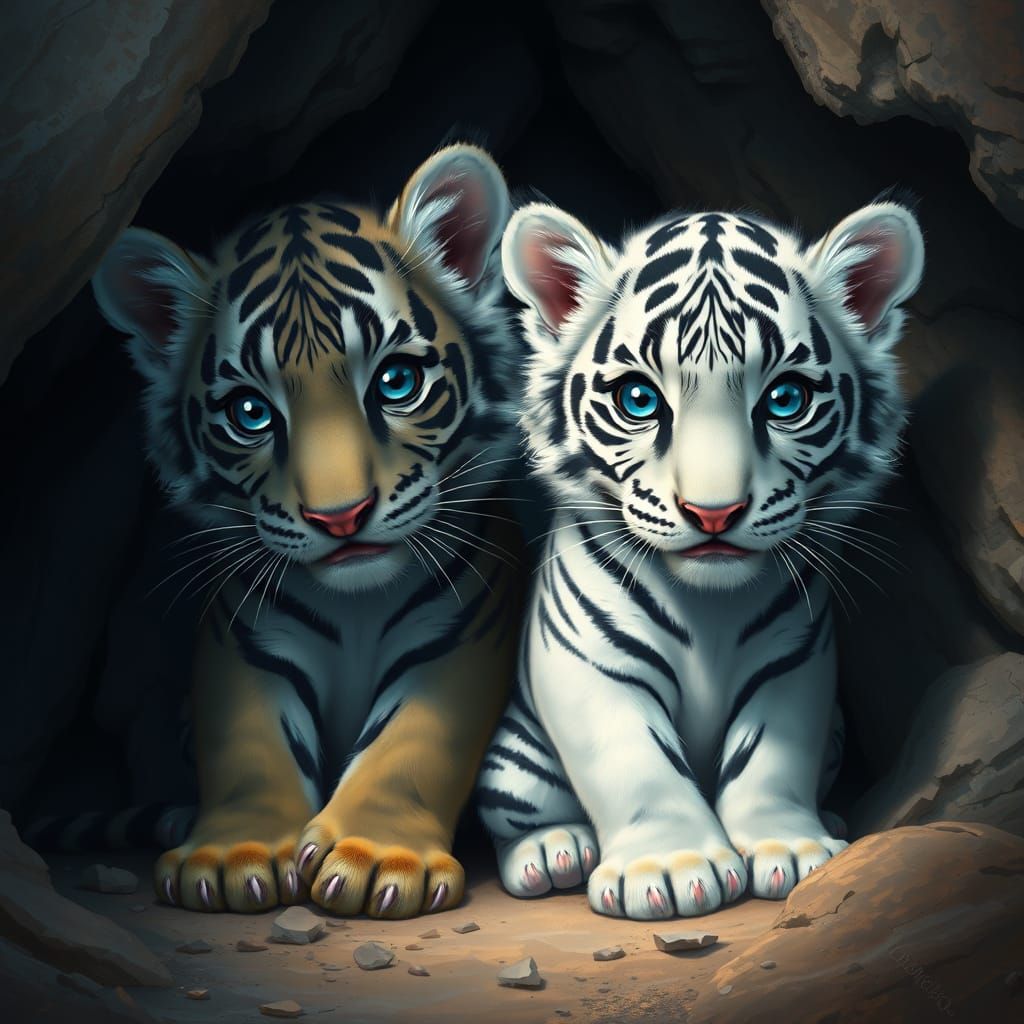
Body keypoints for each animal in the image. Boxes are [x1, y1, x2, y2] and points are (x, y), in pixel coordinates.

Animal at [88, 144, 524, 918]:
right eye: (251, 413)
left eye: (396, 382)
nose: (340, 515)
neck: (359, 605)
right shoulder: (244, 640)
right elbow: (248, 747)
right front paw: (231, 855)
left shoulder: (463, 632)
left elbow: (411, 744)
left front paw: (376, 859)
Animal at [476, 196, 924, 919]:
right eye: (638, 398)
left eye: (786, 398)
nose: (714, 513)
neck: (709, 602)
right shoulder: (593, 666)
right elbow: (637, 764)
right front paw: (669, 866)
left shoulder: (792, 661)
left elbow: (772, 759)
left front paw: (789, 847)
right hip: (517, 757)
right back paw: (551, 852)